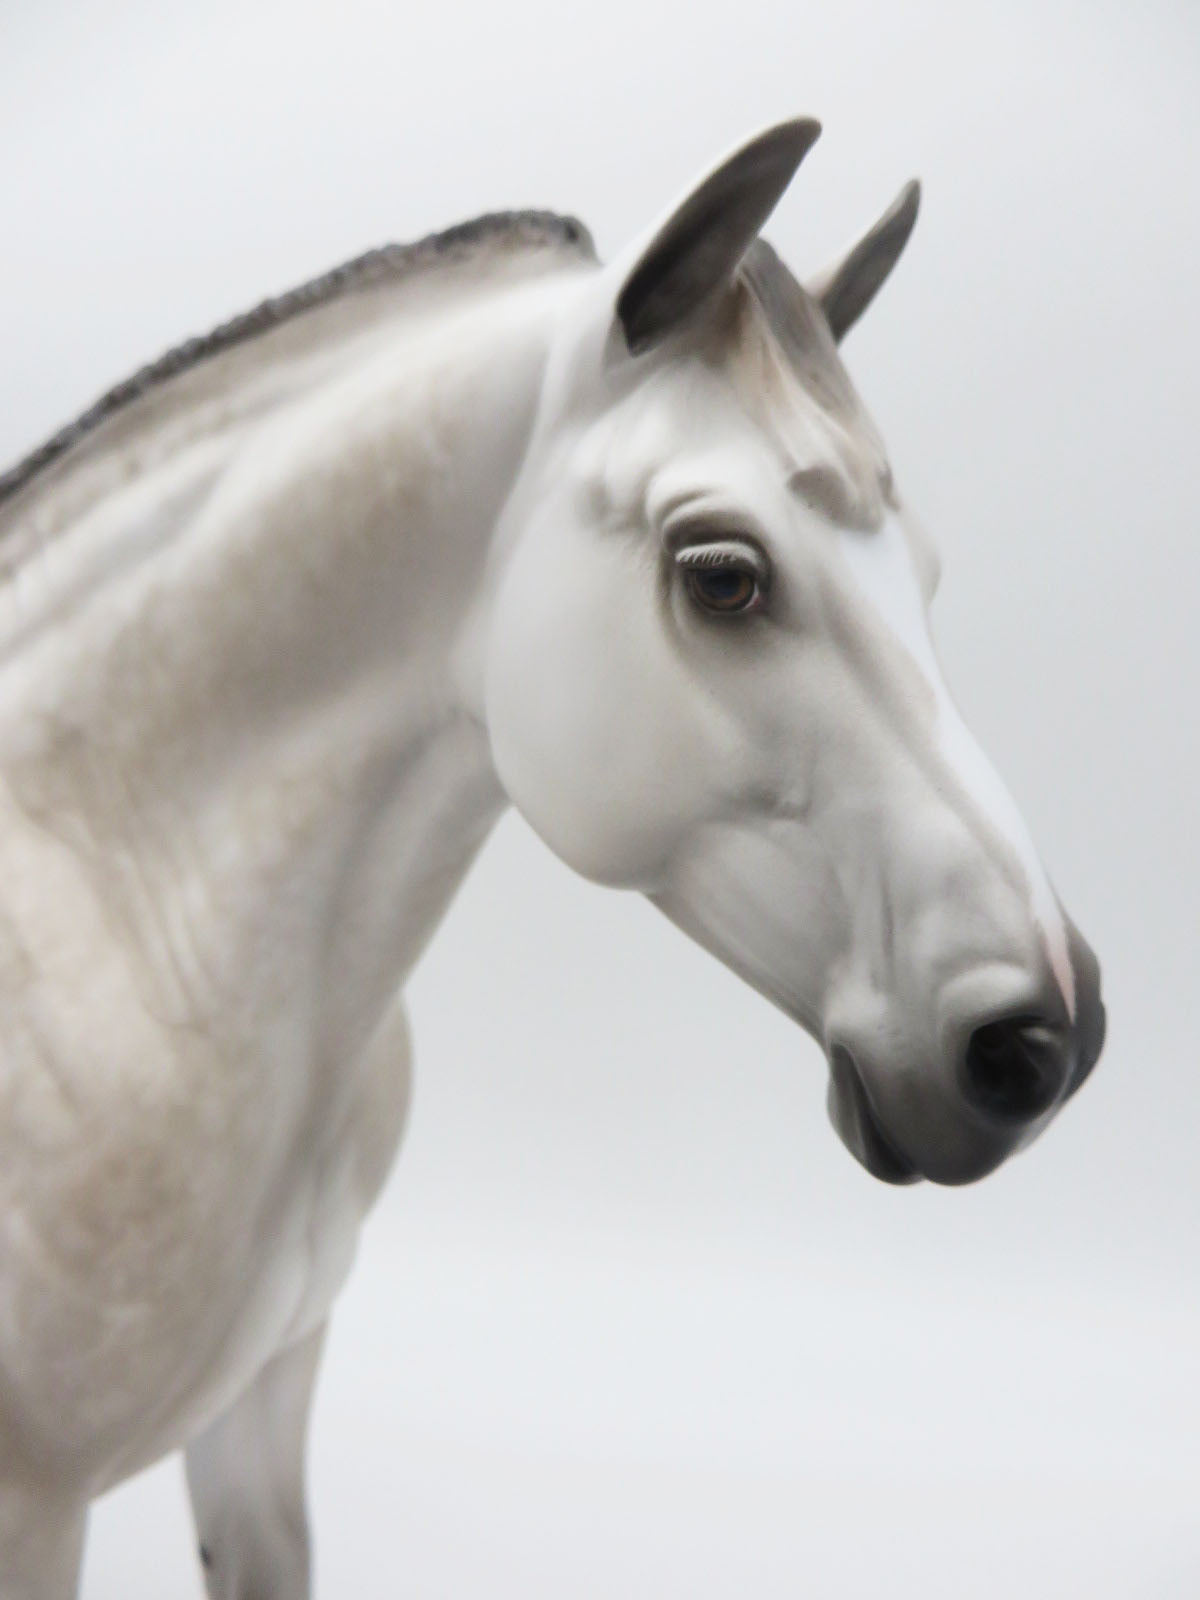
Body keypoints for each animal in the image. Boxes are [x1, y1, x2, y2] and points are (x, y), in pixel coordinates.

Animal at [0, 118, 1104, 1598]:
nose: (1045, 1041)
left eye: (921, 574)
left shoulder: (265, 1399)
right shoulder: (35, 1500)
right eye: (723, 575)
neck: (127, 910)